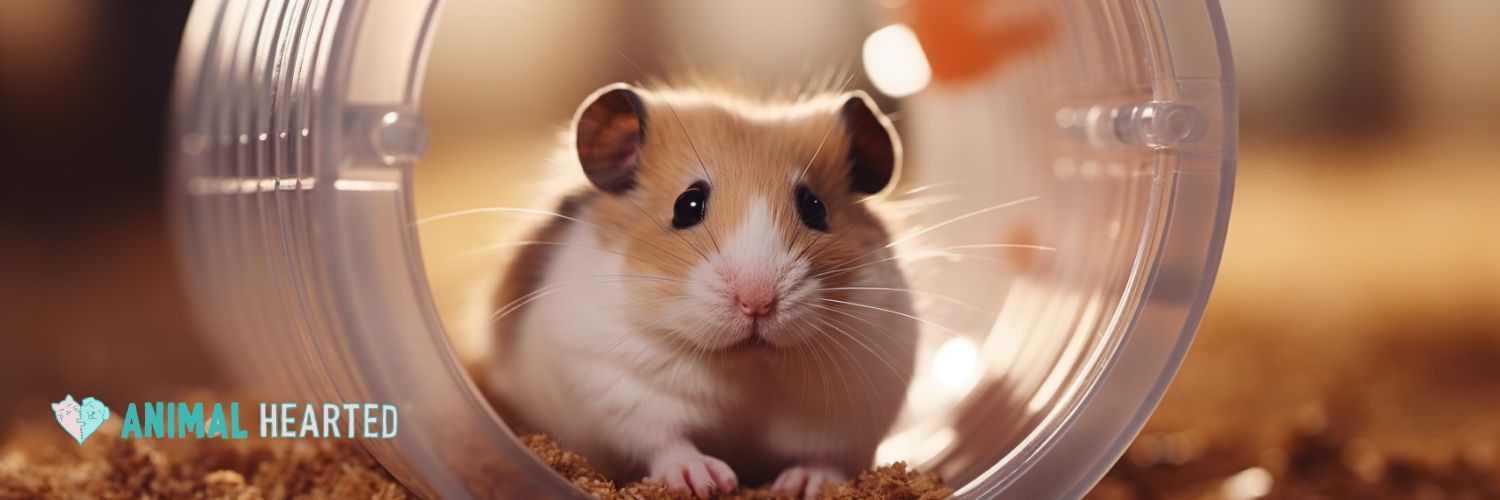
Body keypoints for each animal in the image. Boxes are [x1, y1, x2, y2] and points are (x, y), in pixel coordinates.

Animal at [483, 81, 918, 499]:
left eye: (815, 207)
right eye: (687, 205)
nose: (756, 302)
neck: (746, 365)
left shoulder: (854, 405)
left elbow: (825, 456)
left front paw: (803, 485)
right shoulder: (618, 385)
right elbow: (666, 441)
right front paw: (708, 482)